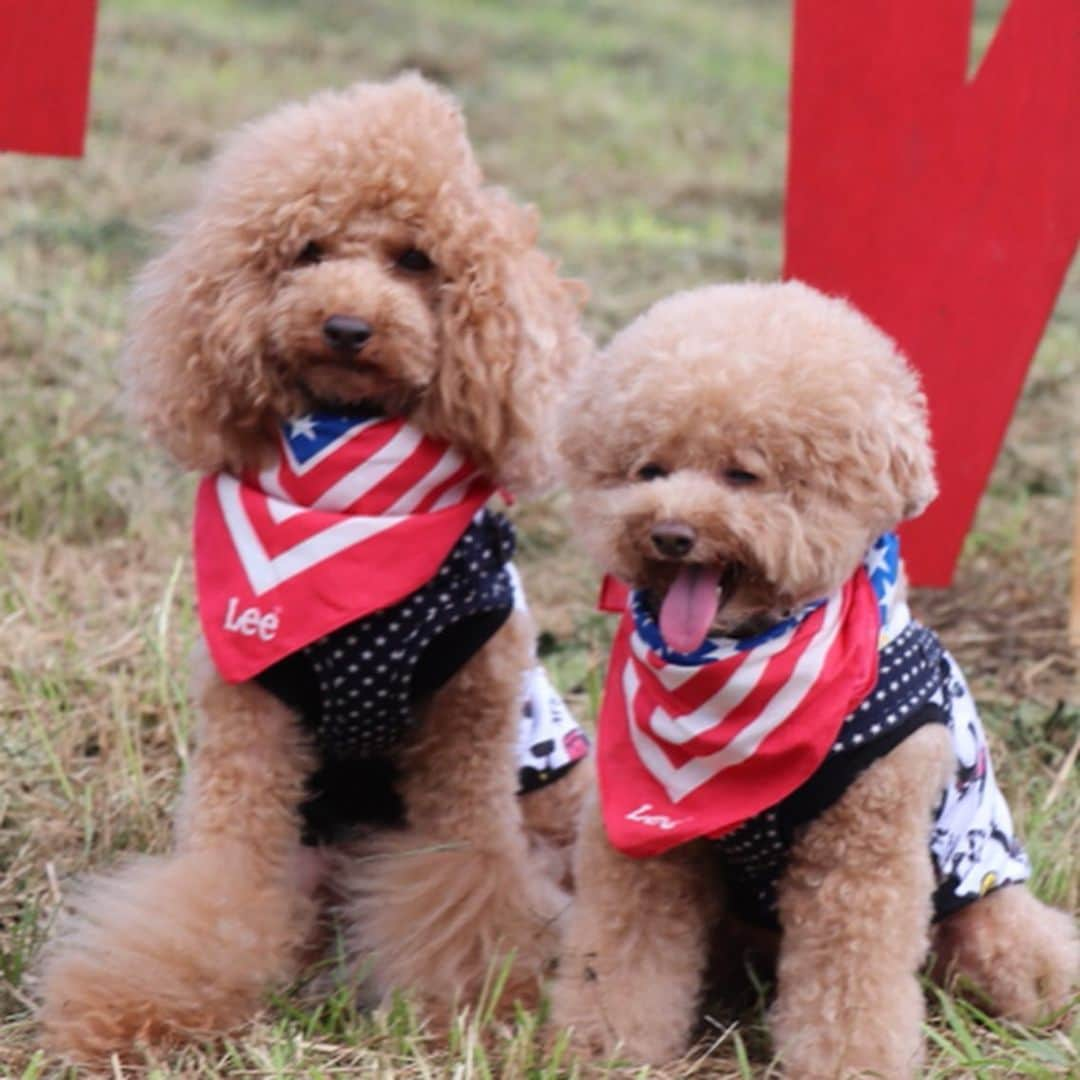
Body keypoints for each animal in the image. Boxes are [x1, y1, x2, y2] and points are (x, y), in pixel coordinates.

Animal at [38, 76, 591, 1062]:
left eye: (416, 260)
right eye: (307, 251)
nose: (345, 326)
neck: (349, 498)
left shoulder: (471, 721)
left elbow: (467, 877)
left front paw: (481, 1002)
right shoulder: (251, 719)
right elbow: (222, 884)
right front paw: (134, 1006)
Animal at [552, 282, 1075, 1075]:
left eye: (743, 474)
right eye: (649, 471)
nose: (669, 533)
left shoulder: (865, 845)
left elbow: (850, 978)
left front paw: (851, 1062)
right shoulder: (643, 841)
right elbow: (622, 951)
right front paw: (607, 1044)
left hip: (982, 906)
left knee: (1017, 950)